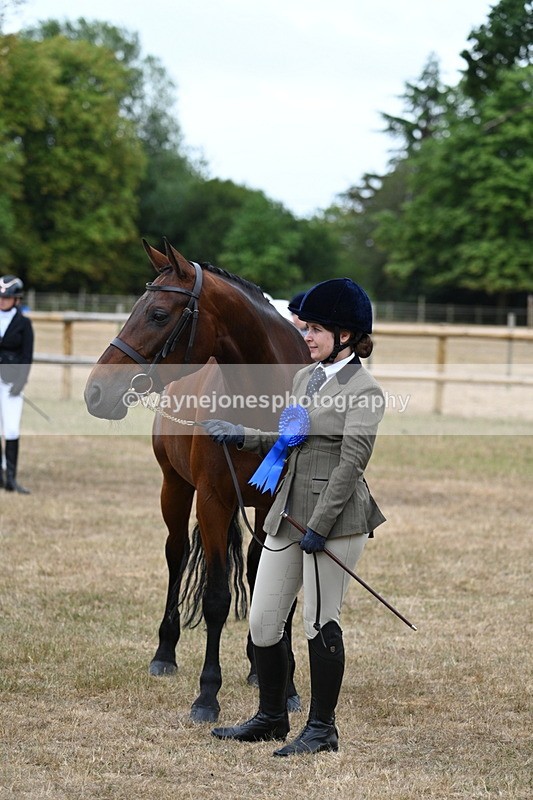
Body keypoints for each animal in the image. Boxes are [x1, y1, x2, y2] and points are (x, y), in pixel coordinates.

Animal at [84, 239, 311, 722]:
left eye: (157, 314)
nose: (95, 391)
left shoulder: (278, 508)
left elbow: (276, 592)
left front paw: (283, 686)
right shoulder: (211, 500)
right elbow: (216, 598)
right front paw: (208, 695)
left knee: (252, 568)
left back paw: (256, 666)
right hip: (174, 488)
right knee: (176, 555)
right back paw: (164, 653)